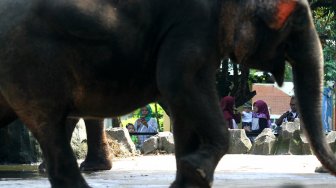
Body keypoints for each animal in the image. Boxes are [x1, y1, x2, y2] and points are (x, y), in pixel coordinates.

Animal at [0, 0, 334, 187]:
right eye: (297, 22)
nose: (324, 169)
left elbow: (181, 91)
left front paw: (190, 176)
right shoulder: (190, 26)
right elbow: (180, 84)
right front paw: (195, 172)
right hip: (33, 59)